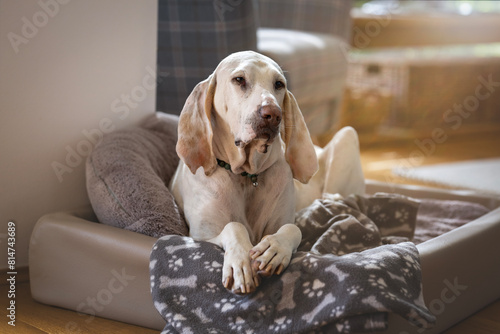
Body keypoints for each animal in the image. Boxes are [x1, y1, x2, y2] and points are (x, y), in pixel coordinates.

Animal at [170, 51, 366, 294]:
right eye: (239, 79)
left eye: (278, 84)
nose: (272, 114)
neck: (246, 176)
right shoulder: (200, 235)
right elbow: (233, 226)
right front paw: (241, 262)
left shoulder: (284, 220)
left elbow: (293, 228)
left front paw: (275, 248)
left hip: (347, 136)